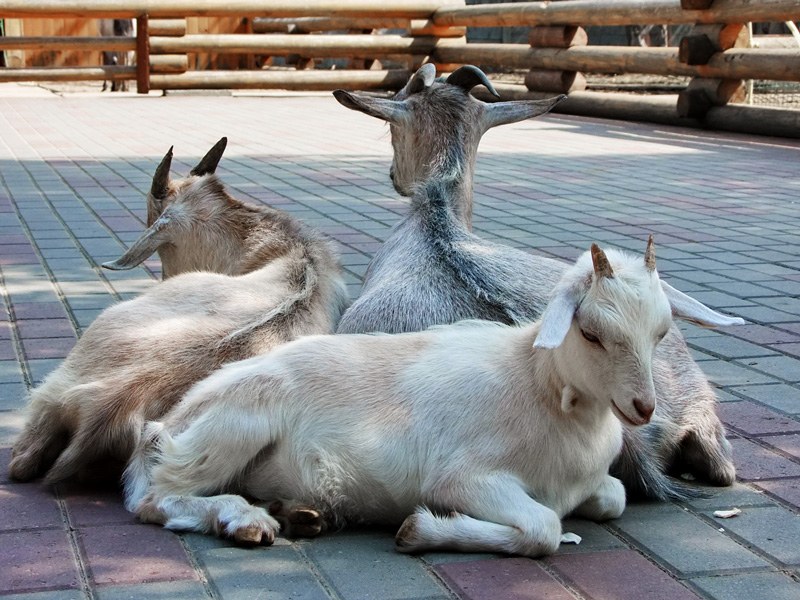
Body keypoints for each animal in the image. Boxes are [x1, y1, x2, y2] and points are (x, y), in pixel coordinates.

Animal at [125, 240, 741, 557]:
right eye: (589, 332)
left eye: (661, 332)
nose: (643, 408)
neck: (535, 388)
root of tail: (177, 412)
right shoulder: (465, 478)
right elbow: (544, 530)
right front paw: (421, 531)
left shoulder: (593, 483)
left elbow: (613, 496)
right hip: (232, 428)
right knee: (157, 499)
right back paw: (245, 520)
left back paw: (295, 513)